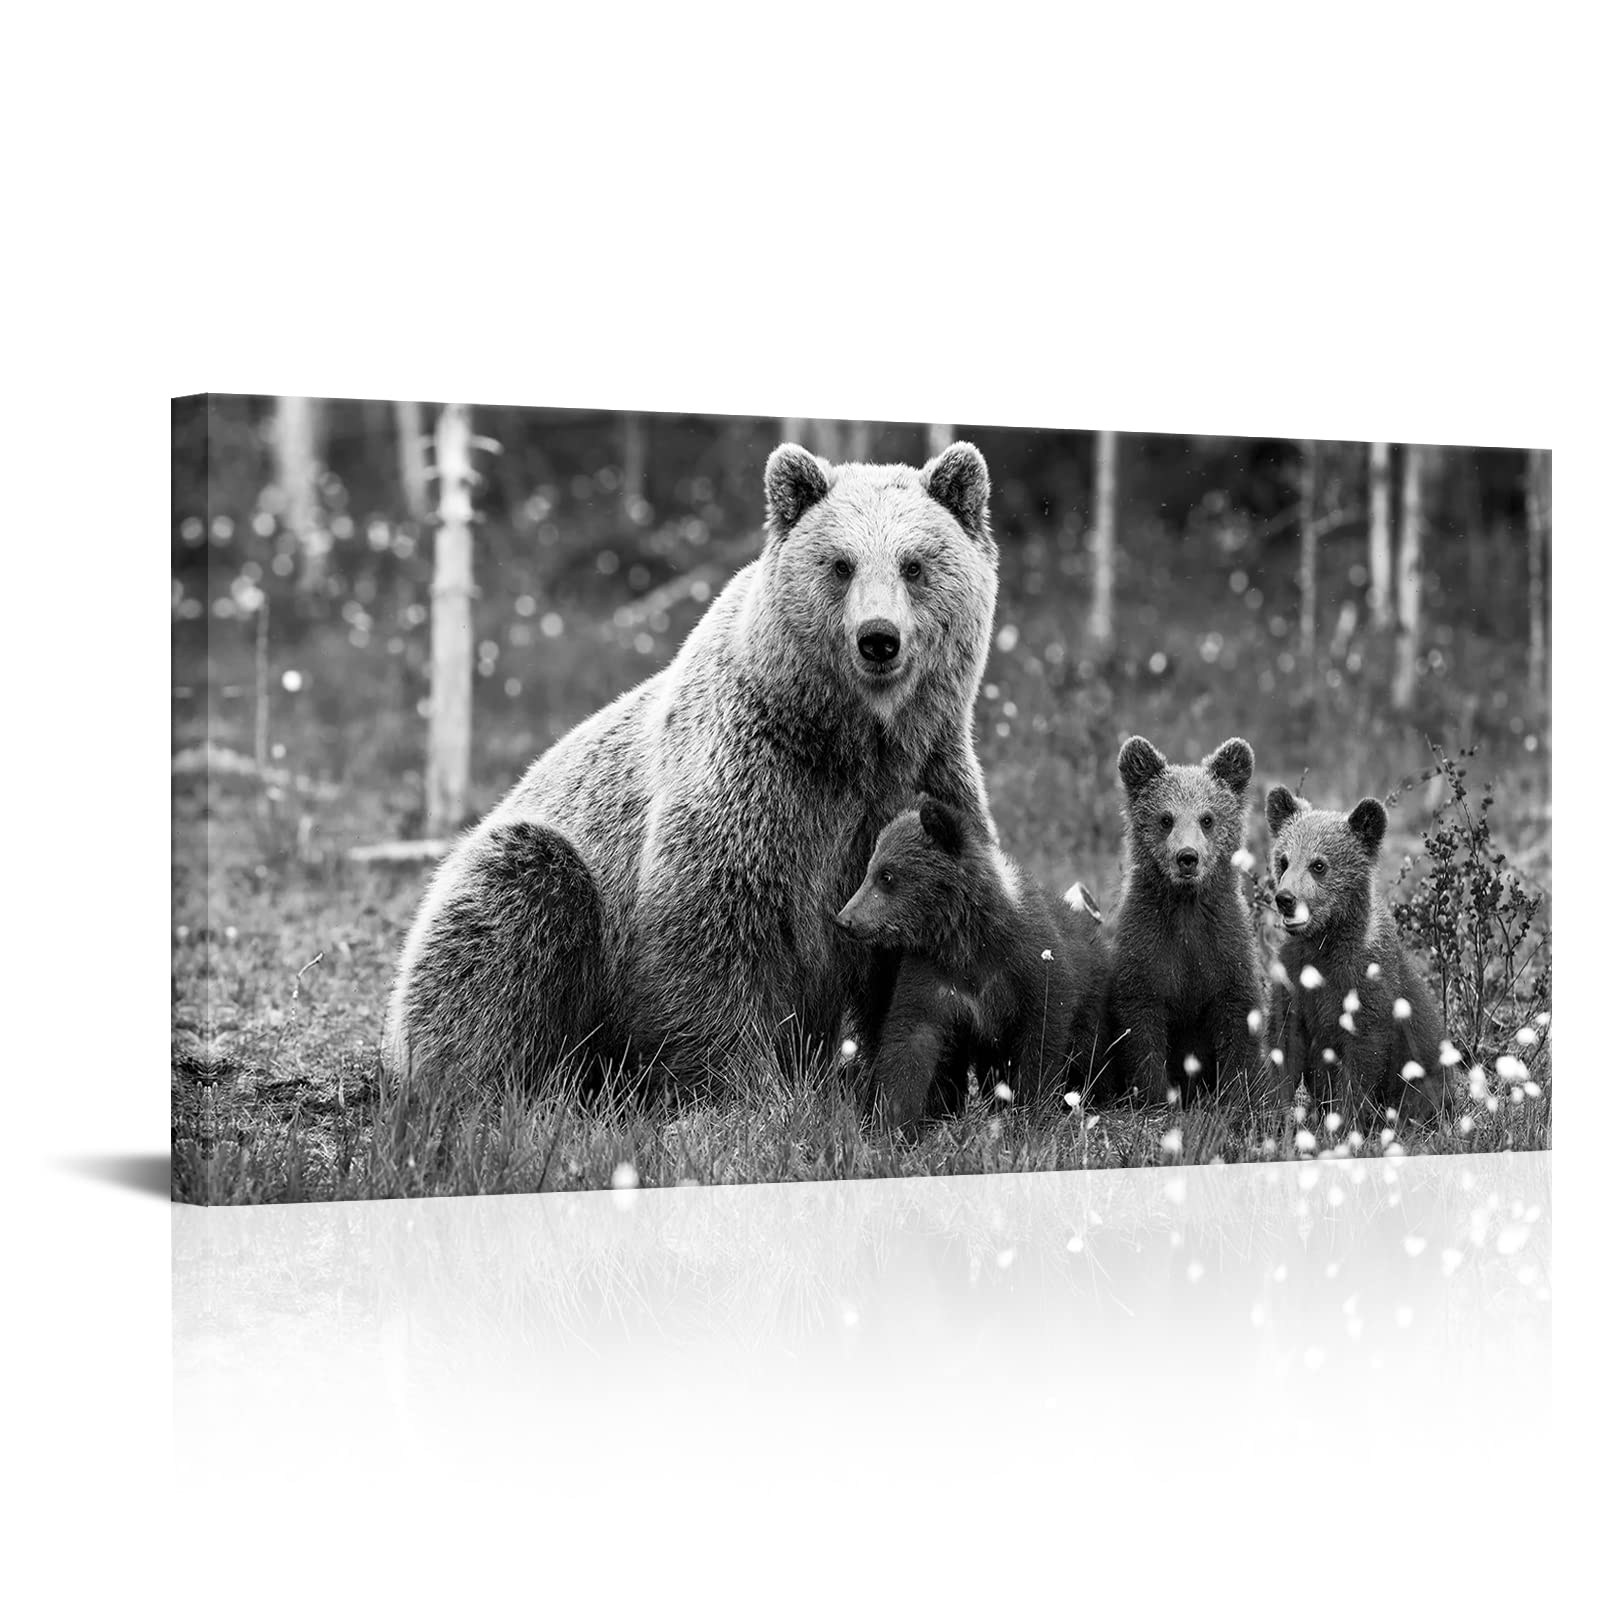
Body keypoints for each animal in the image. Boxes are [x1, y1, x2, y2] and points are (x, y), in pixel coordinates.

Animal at [384, 440, 1001, 1099]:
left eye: (914, 565)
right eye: (841, 564)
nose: (878, 638)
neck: (855, 742)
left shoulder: (923, 780)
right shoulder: (753, 780)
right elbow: (711, 930)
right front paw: (746, 1089)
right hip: (521, 886)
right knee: (510, 909)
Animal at [834, 797, 1110, 1132]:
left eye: (886, 876)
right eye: (869, 869)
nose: (845, 919)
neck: (966, 938)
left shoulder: (1029, 966)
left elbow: (1041, 1037)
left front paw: (1028, 1112)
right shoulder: (934, 974)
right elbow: (910, 1040)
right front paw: (893, 1121)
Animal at [1105, 735, 1266, 1106]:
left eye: (1207, 818)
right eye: (1166, 818)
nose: (1187, 857)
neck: (1186, 906)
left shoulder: (1224, 948)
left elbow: (1237, 1020)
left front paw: (1236, 1096)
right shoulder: (1148, 948)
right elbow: (1142, 1026)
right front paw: (1155, 1096)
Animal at [1264, 786, 1448, 1121]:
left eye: (1319, 865)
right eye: (1283, 860)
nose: (1285, 899)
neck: (1325, 941)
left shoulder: (1365, 987)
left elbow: (1361, 1063)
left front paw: (1345, 1119)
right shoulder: (1293, 979)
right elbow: (1284, 1044)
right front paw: (1276, 1115)